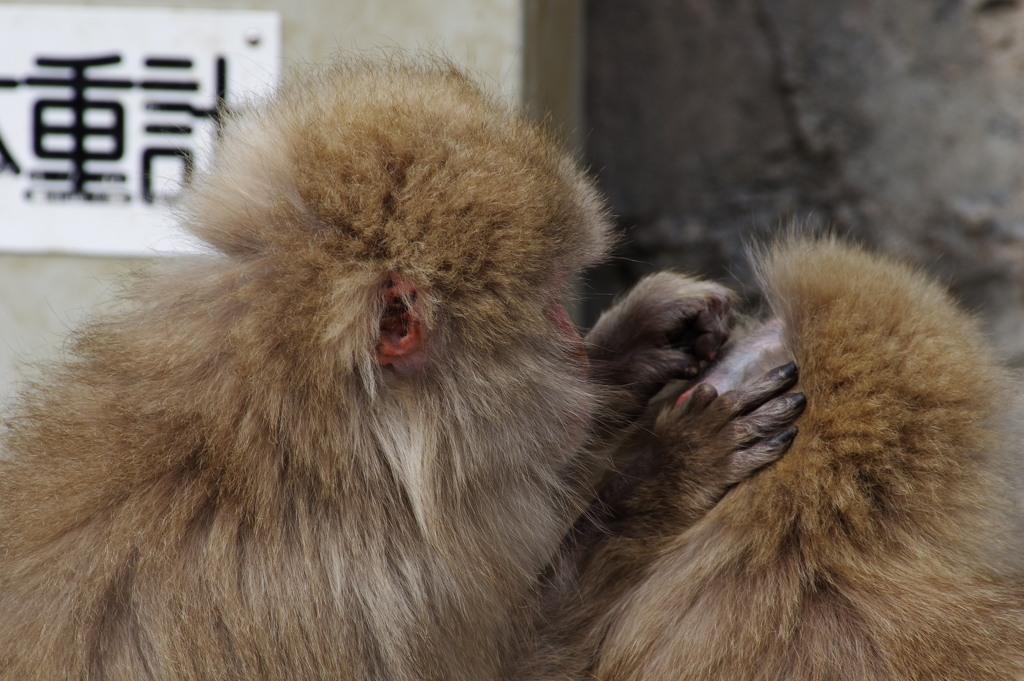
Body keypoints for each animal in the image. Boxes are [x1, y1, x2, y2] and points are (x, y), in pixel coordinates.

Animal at [0, 59, 798, 679]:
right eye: (549, 305)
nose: (574, 347)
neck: (309, 436)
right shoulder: (353, 589)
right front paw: (672, 467)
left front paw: (641, 342)